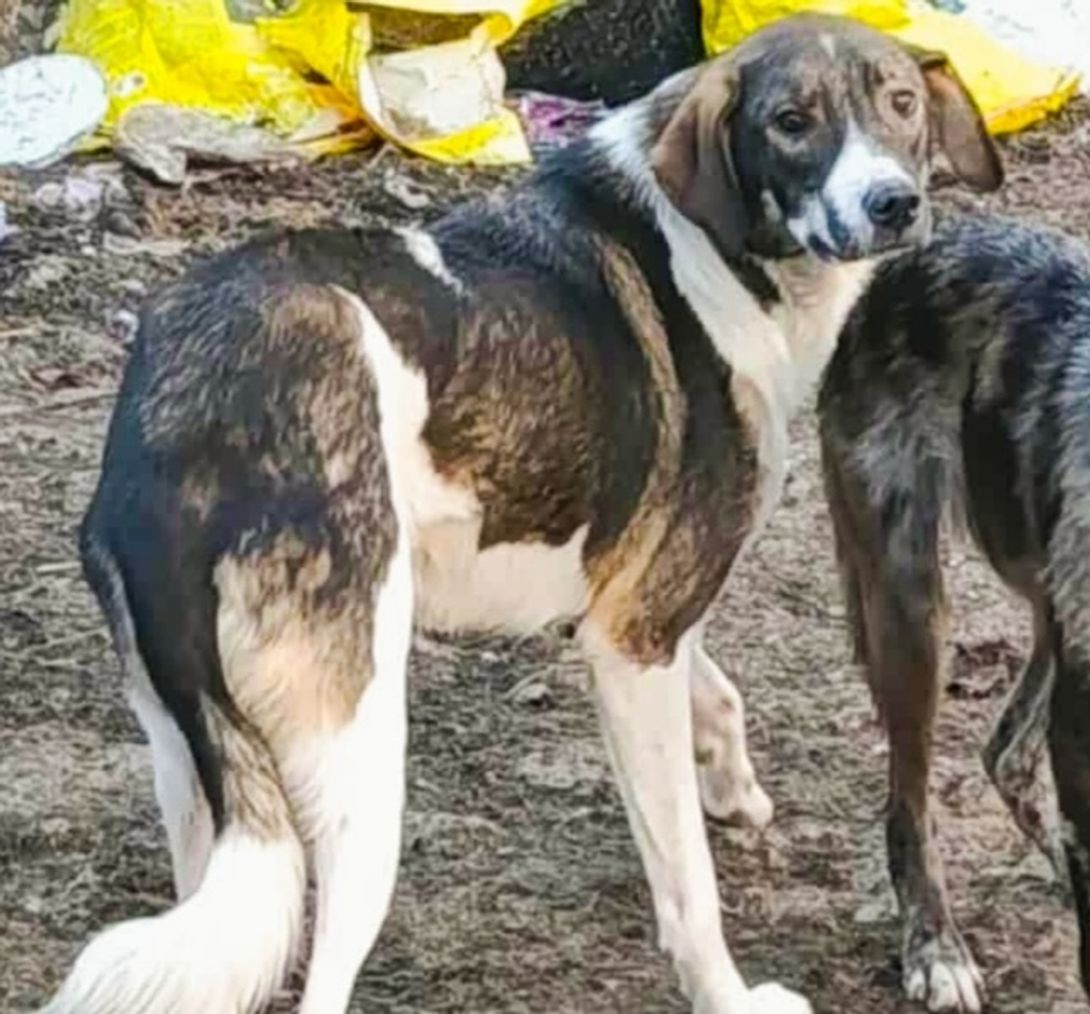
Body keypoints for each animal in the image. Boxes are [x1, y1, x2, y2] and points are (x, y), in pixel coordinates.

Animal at [50, 15, 1000, 1014]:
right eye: (791, 122)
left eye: (900, 104)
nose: (894, 204)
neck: (715, 240)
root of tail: (180, 422)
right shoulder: (633, 645)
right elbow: (688, 887)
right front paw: (731, 993)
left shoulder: (637, 607)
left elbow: (718, 689)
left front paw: (734, 785)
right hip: (357, 759)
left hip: (200, 779)